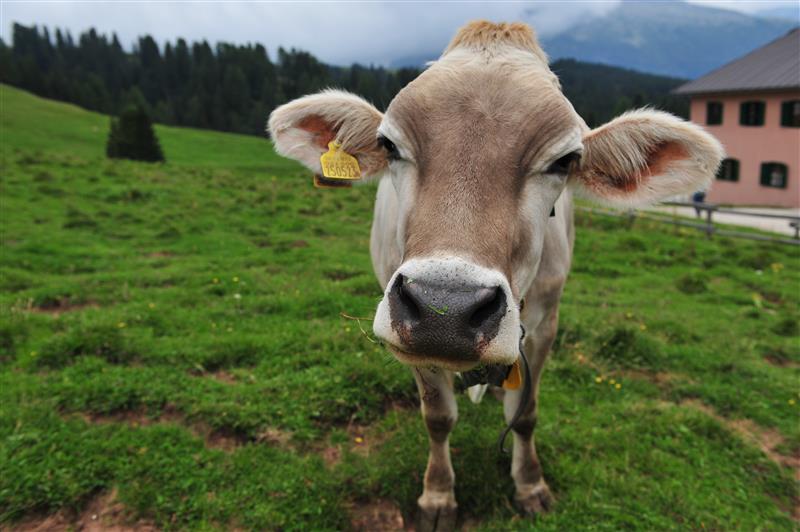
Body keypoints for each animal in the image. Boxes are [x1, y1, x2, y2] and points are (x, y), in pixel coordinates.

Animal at [268, 20, 722, 531]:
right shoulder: (410, 340)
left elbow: (524, 414)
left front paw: (530, 486)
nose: (445, 309)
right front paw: (437, 497)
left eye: (564, 161)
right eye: (389, 146)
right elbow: (437, 418)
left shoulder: (545, 324)